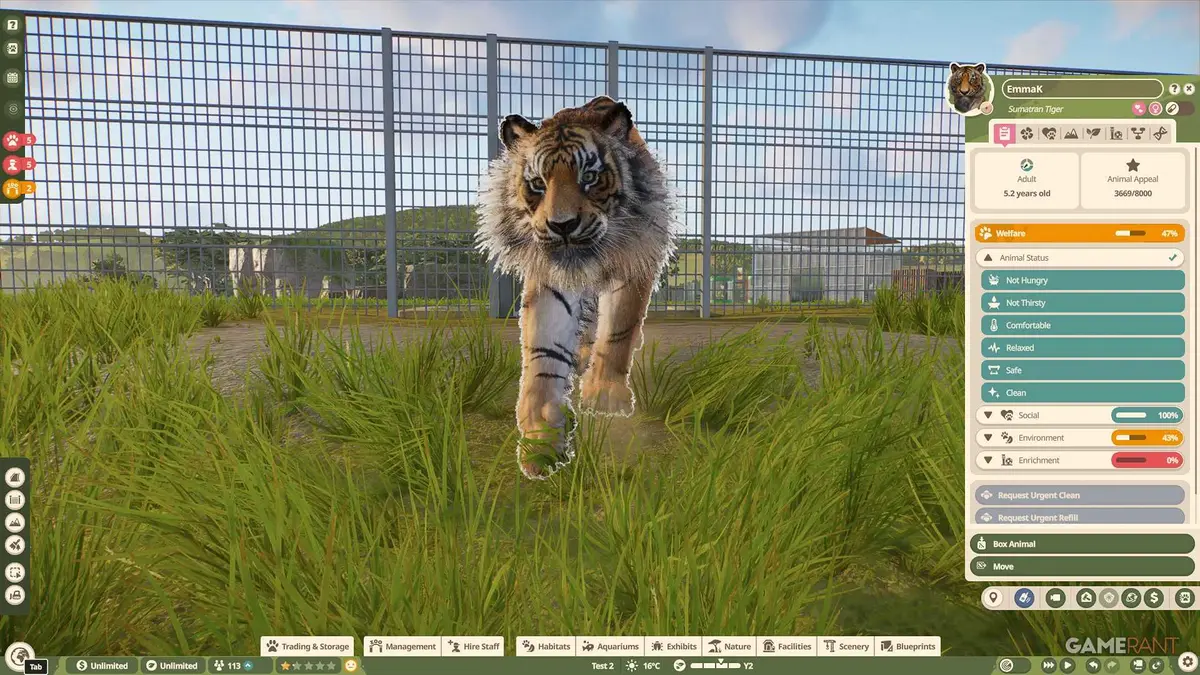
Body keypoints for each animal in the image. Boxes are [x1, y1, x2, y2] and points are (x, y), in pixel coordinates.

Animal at [475, 95, 677, 480]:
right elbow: (543, 354)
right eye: (538, 183)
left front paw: (606, 395)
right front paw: (541, 439)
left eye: (590, 177)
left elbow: (618, 331)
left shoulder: (633, 263)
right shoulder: (551, 277)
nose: (562, 225)